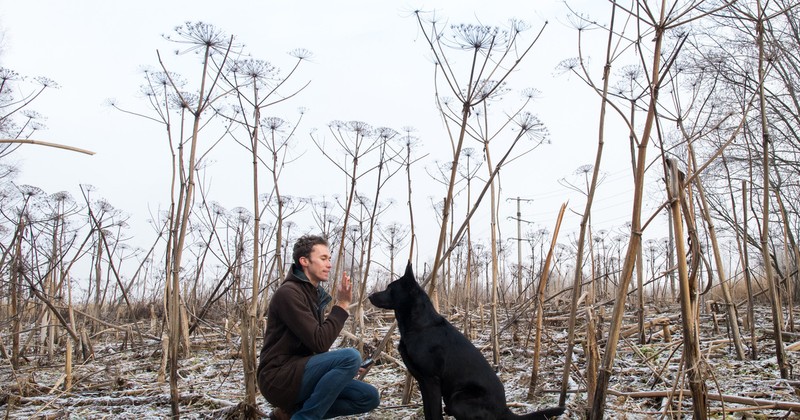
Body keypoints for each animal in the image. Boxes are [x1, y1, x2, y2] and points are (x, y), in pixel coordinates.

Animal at [368, 262, 564, 420]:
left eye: (389, 288)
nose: (369, 296)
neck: (420, 325)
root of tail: (505, 410)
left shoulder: (431, 380)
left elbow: (434, 414)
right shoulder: (423, 381)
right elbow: (428, 411)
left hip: (458, 399)